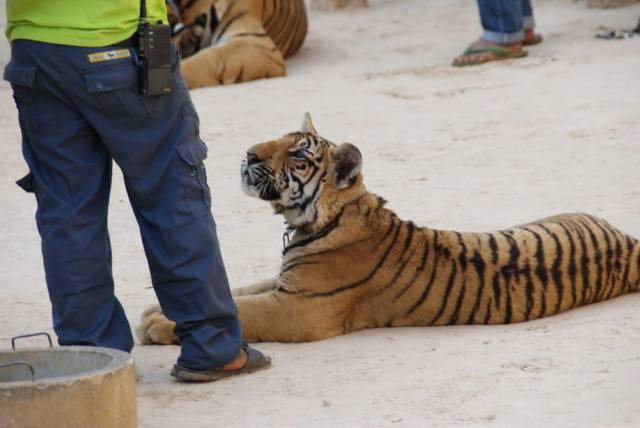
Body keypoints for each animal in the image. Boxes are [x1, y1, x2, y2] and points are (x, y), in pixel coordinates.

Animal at [138, 113, 640, 344]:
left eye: (298, 154)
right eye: (282, 136)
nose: (248, 154)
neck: (311, 221)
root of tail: (628, 242)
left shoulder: (297, 308)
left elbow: (247, 312)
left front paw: (158, 325)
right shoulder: (285, 284)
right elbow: (237, 292)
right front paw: (155, 311)